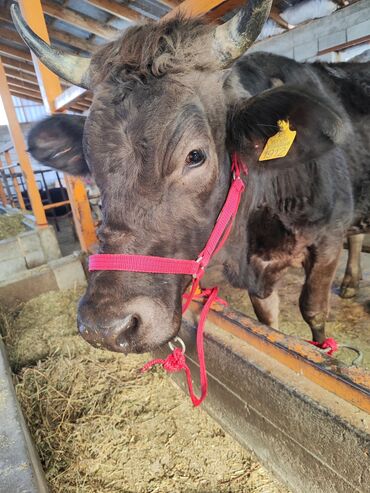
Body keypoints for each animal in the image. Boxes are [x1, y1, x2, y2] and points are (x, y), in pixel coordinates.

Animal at [12, 0, 370, 354]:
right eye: (90, 160)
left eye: (195, 156)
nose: (106, 327)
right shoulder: (260, 273)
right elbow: (269, 321)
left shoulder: (328, 240)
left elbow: (313, 311)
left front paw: (324, 349)